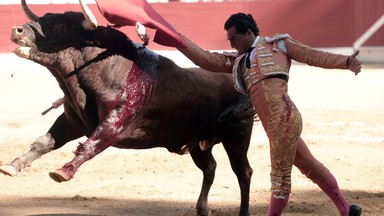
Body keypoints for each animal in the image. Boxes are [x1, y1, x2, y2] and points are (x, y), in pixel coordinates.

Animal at [1, 0, 256, 215]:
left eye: (61, 25)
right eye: (44, 17)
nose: (17, 30)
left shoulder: (114, 124)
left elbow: (91, 144)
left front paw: (63, 171)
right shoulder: (72, 121)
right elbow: (44, 142)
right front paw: (12, 166)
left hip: (236, 137)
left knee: (243, 172)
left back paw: (243, 211)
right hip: (198, 142)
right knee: (210, 167)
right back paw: (202, 208)